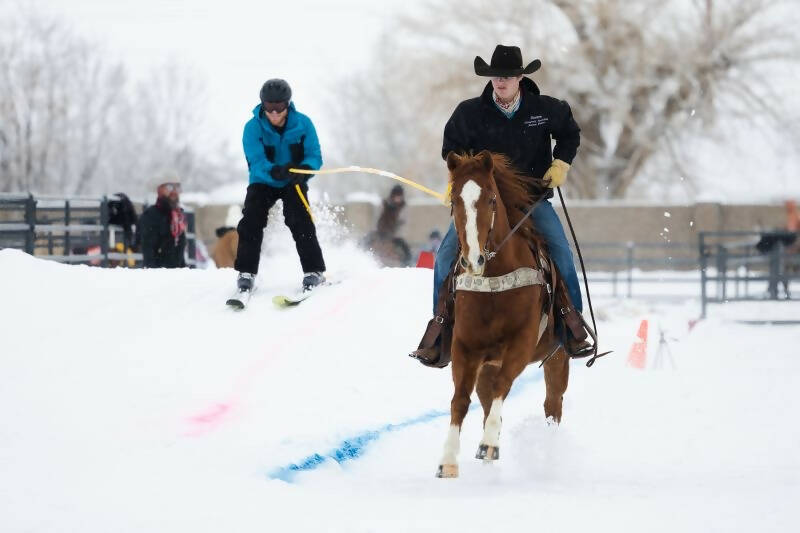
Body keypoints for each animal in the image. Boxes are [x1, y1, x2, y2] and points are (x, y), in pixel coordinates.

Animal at [438, 150, 568, 478]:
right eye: (454, 200)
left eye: (491, 200)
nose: (472, 260)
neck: (494, 281)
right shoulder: (465, 347)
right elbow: (460, 399)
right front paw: (448, 459)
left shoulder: (521, 343)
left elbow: (504, 385)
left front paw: (489, 444)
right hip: (486, 365)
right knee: (485, 402)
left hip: (557, 358)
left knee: (552, 405)